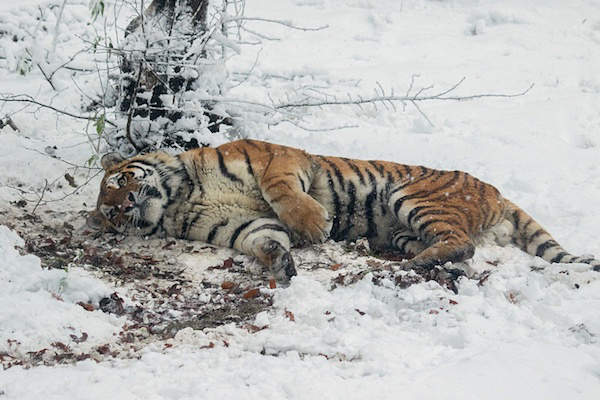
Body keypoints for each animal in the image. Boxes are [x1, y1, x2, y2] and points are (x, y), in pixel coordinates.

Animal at [86, 139, 600, 282]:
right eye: (110, 212)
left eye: (120, 183)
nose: (125, 205)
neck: (179, 195)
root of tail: (495, 193)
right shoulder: (235, 224)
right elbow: (263, 236)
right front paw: (281, 261)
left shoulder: (278, 158)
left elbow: (281, 192)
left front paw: (316, 224)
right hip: (403, 223)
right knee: (457, 244)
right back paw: (409, 257)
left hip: (410, 195)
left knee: (463, 244)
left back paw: (413, 264)